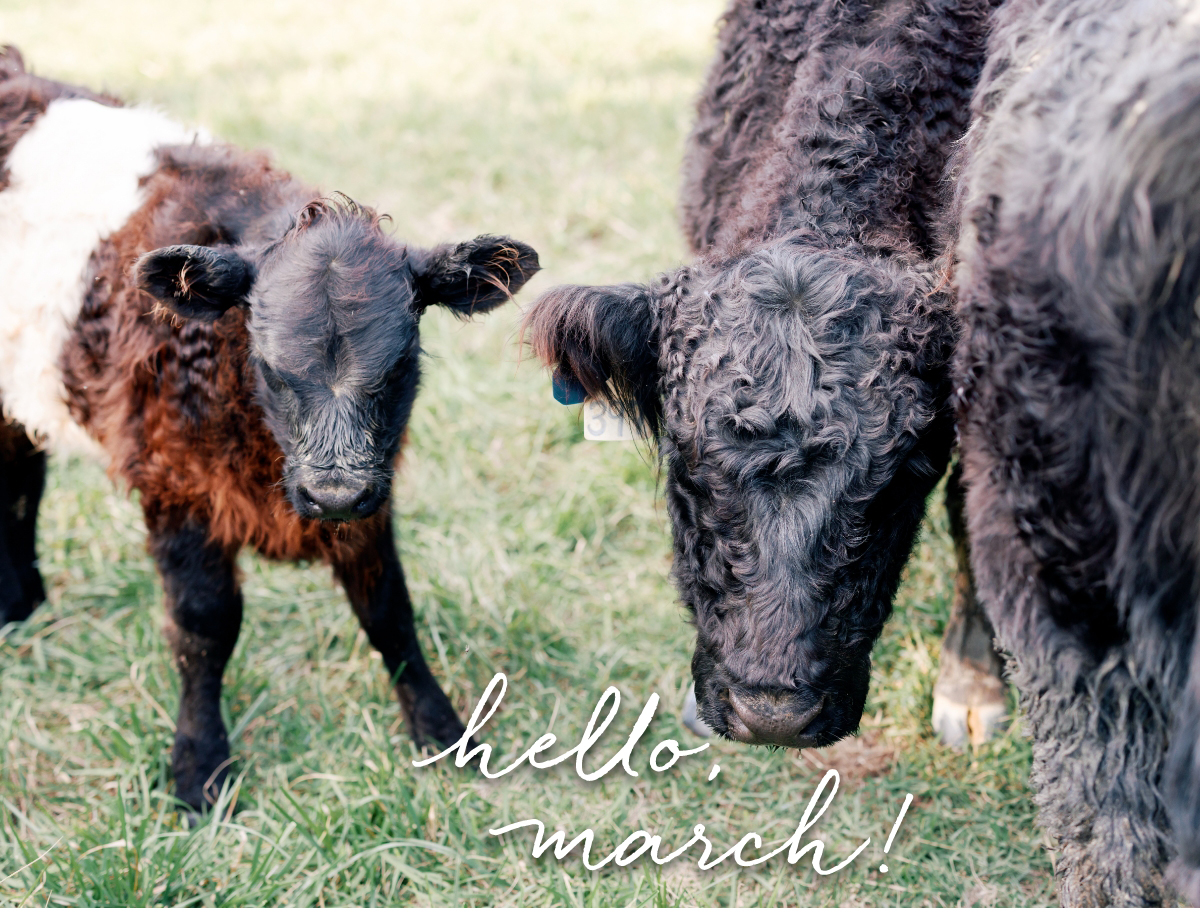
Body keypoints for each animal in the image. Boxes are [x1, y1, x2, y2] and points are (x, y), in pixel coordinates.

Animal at [0, 46, 540, 806]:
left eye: (401, 361)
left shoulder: (371, 498)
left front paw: (442, 730)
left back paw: (23, 602)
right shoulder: (176, 484)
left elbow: (389, 612)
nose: (333, 492)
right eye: (271, 362)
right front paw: (199, 766)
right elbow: (205, 627)